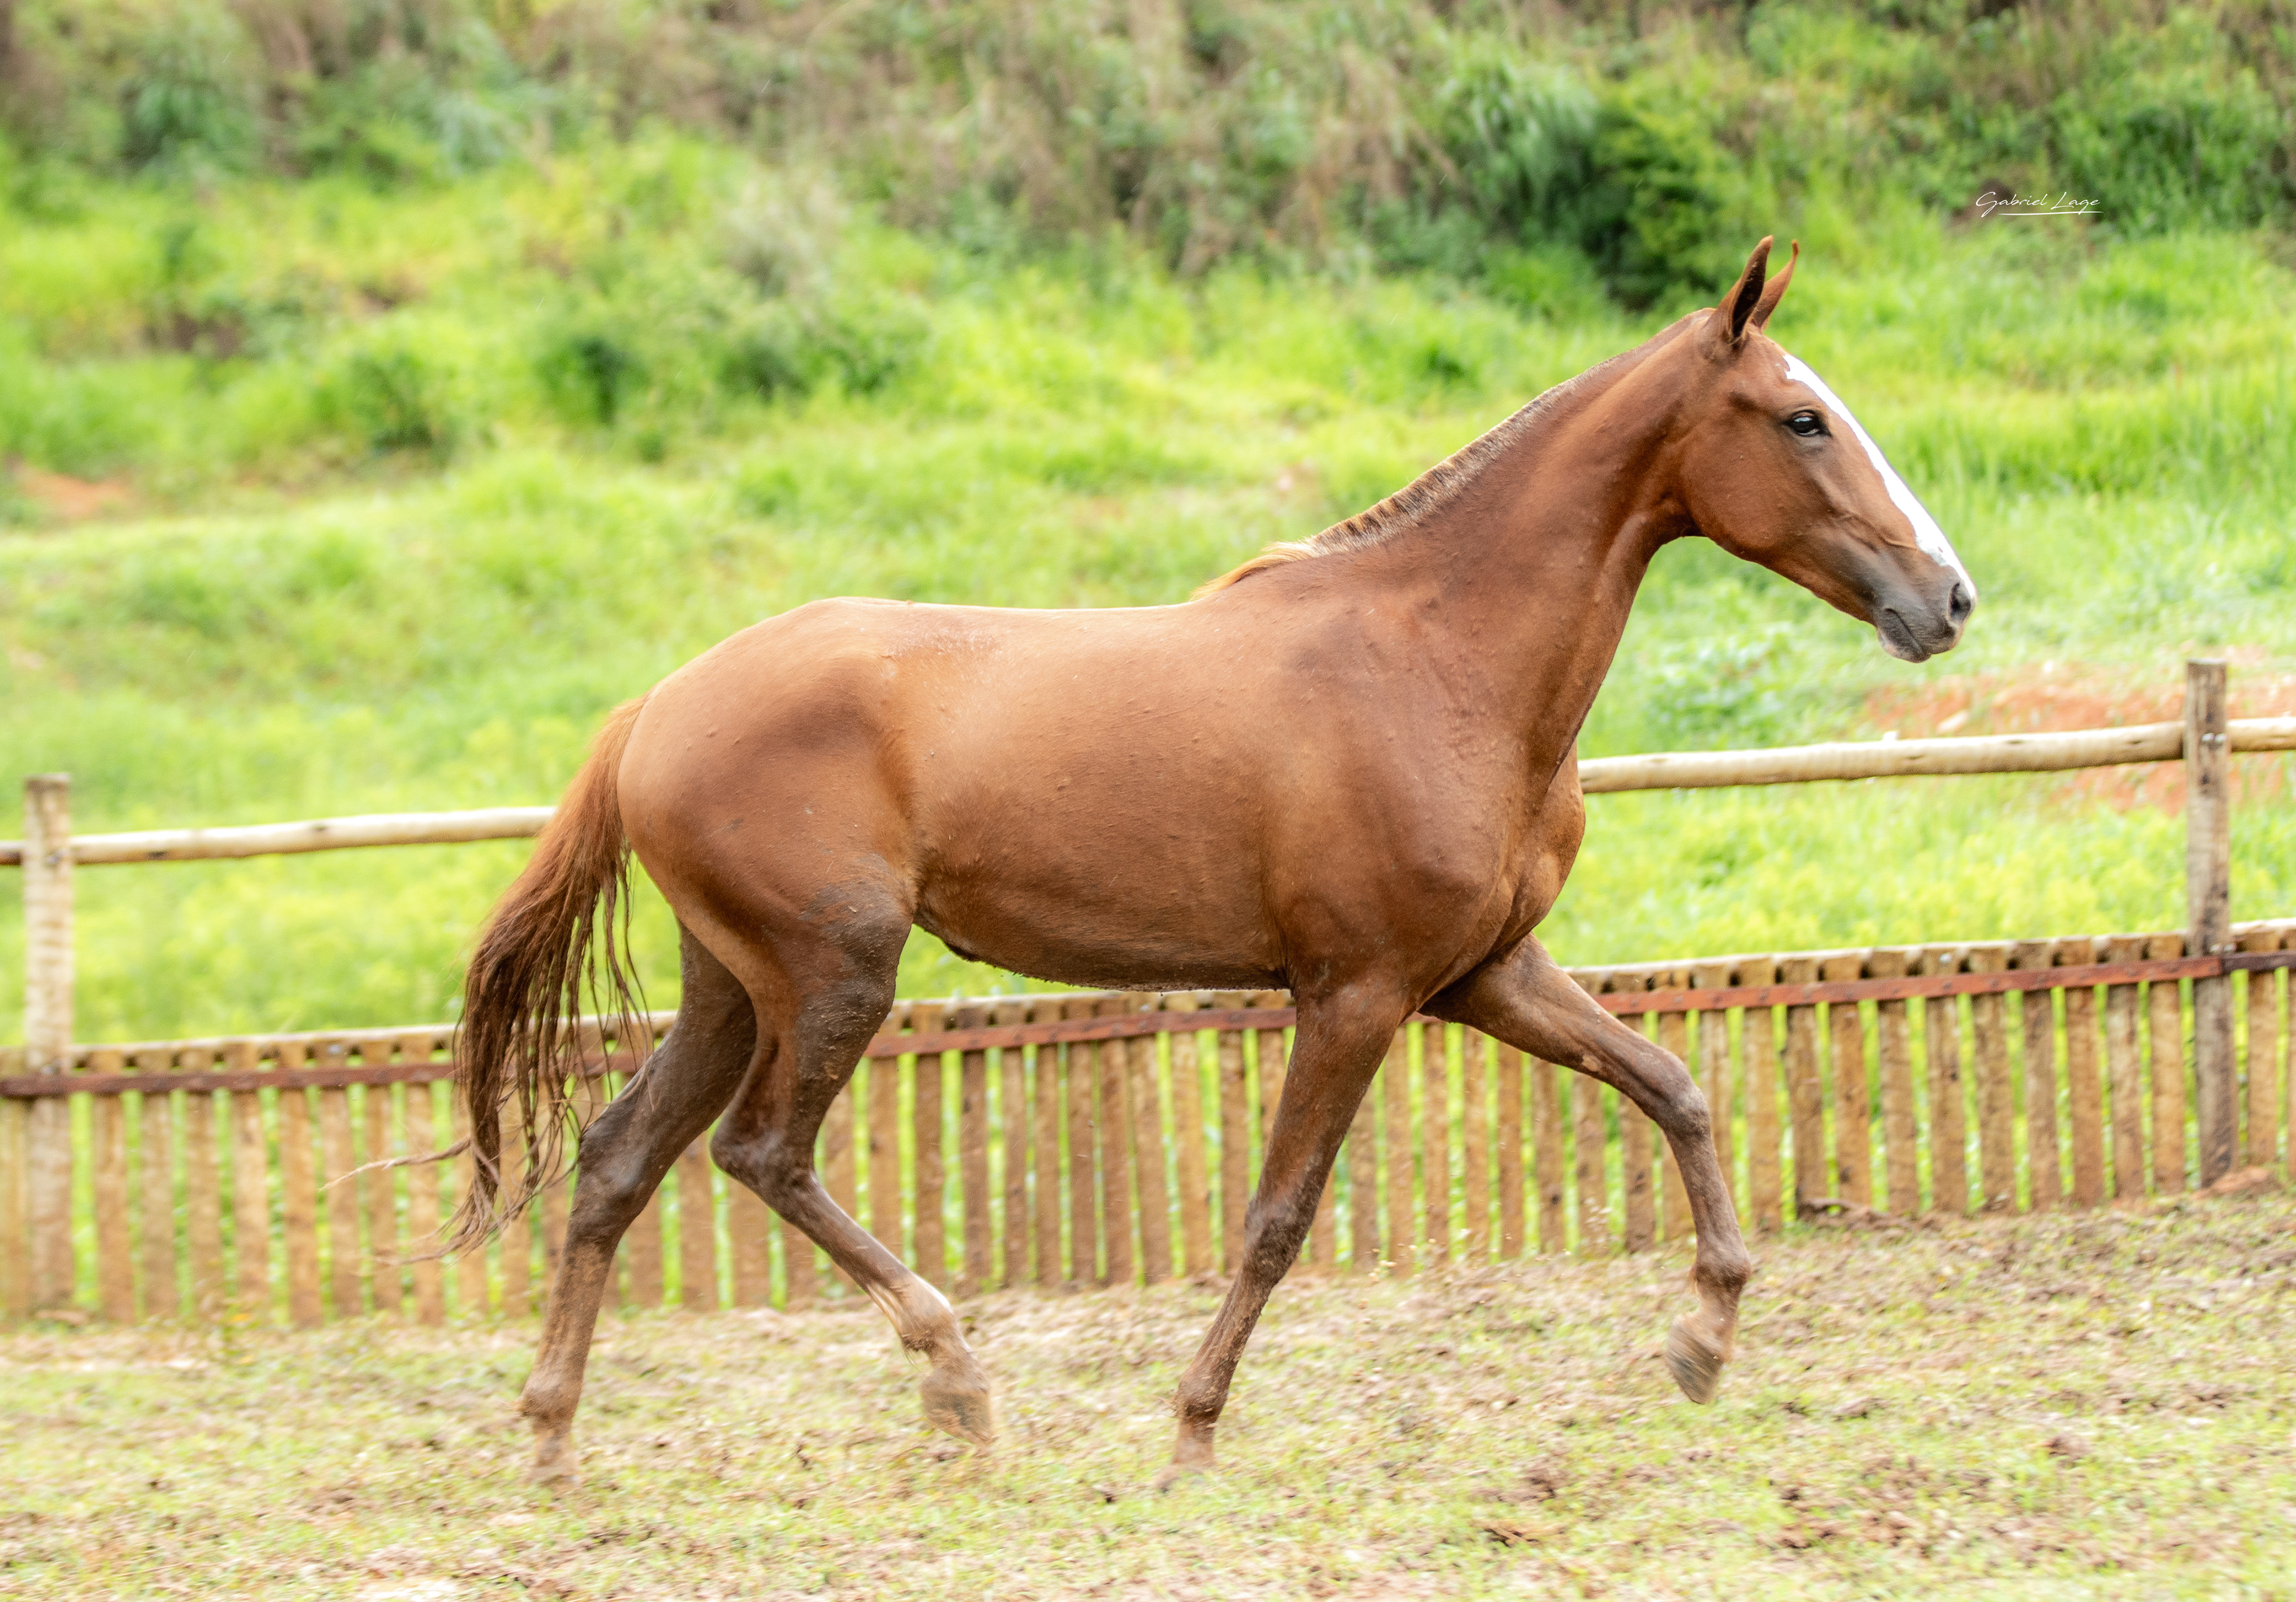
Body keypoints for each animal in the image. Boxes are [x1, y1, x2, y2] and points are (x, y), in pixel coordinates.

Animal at [452, 237, 1974, 1486]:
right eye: (1802, 418)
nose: (1946, 598)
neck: (1439, 660)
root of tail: (652, 708)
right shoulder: (1356, 991)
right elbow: (1277, 1214)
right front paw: (1190, 1428)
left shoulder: (1484, 972)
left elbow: (1673, 1086)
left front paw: (1704, 1339)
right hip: (832, 974)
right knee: (762, 1152)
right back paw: (958, 1384)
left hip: (729, 980)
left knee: (618, 1154)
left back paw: (552, 1432)